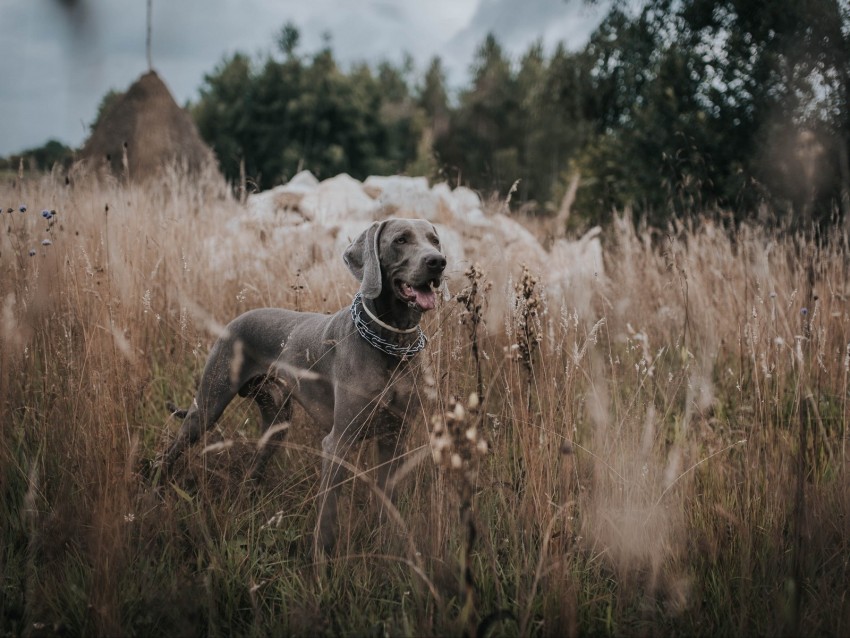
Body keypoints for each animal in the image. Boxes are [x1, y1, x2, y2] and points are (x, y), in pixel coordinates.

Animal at [161, 218, 448, 552]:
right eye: (401, 239)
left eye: (434, 240)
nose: (437, 262)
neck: (392, 344)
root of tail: (236, 319)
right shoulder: (338, 441)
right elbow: (327, 516)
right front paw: (321, 562)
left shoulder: (395, 437)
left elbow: (387, 503)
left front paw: (387, 546)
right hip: (207, 407)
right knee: (172, 451)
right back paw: (156, 489)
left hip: (277, 422)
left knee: (254, 467)